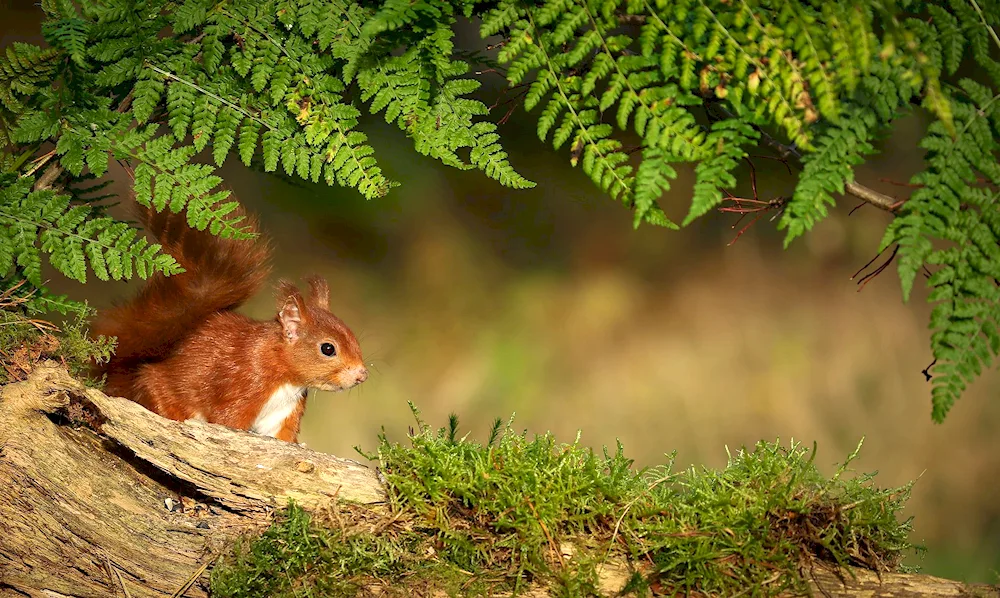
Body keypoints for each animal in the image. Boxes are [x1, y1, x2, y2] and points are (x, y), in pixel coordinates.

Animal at [91, 204, 368, 442]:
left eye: (354, 337)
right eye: (328, 349)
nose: (362, 375)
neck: (284, 375)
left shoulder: (284, 411)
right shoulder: (242, 384)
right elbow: (228, 420)